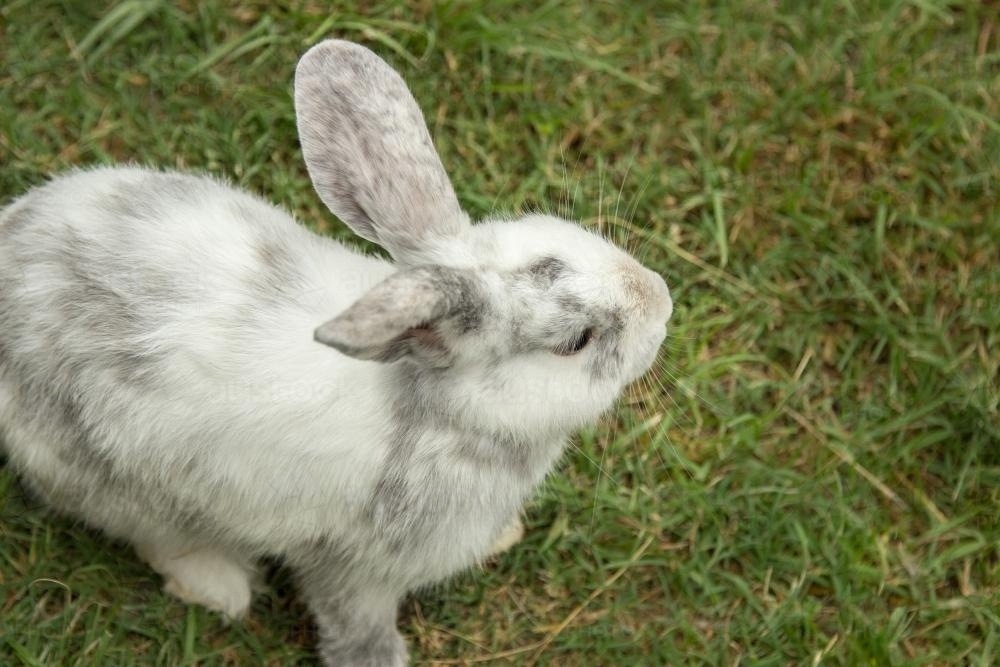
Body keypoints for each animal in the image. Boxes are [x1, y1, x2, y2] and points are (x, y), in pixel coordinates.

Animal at [0, 39, 676, 664]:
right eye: (576, 342)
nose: (662, 301)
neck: (436, 411)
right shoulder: (354, 571)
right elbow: (357, 628)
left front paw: (503, 536)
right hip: (109, 481)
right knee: (158, 537)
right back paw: (221, 588)